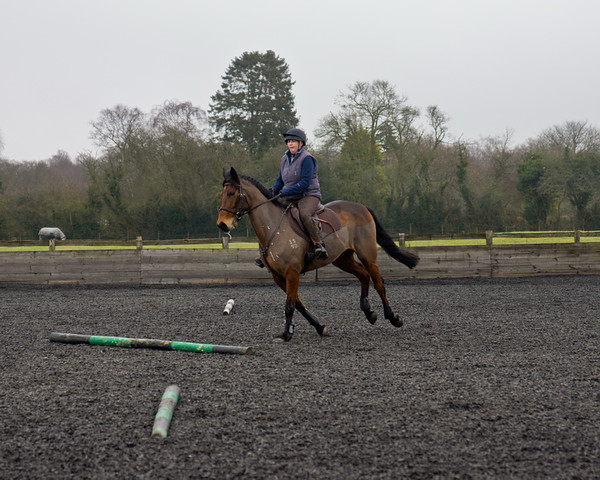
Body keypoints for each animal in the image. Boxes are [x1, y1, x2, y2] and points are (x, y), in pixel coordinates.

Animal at [218, 167, 420, 344]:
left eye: (231, 194)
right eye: (222, 194)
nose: (222, 224)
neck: (273, 228)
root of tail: (361, 207)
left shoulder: (292, 273)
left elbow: (290, 305)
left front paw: (286, 334)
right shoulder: (278, 276)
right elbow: (298, 303)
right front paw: (319, 327)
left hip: (367, 255)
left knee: (379, 283)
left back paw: (393, 318)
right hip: (342, 259)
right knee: (363, 275)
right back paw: (369, 312)